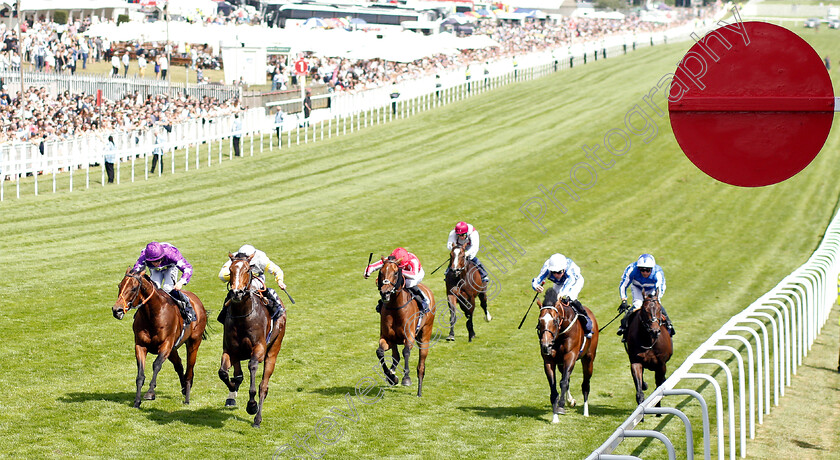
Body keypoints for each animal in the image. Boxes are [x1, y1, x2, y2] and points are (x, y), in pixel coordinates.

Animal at [112, 268, 208, 408]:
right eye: (120, 285)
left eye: (134, 288)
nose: (116, 310)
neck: (153, 315)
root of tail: (197, 301)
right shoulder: (140, 345)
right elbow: (140, 374)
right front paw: (137, 401)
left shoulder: (166, 344)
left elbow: (156, 365)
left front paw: (150, 393)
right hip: (173, 350)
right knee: (179, 365)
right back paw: (184, 388)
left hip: (194, 343)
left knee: (190, 371)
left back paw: (187, 397)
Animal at [218, 252, 288, 428]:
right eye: (230, 269)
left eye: (247, 269)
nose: (237, 293)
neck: (243, 316)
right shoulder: (230, 350)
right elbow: (224, 373)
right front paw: (232, 390)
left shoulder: (259, 349)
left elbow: (252, 367)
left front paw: (251, 405)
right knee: (238, 374)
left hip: (273, 351)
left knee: (264, 385)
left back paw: (257, 418)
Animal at [376, 256, 436, 398]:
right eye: (381, 272)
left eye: (395, 273)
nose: (385, 292)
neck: (395, 307)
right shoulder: (387, 338)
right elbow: (380, 352)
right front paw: (391, 377)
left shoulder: (409, 337)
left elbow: (406, 352)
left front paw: (406, 378)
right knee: (396, 357)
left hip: (425, 335)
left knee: (421, 366)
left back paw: (419, 391)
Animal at [540, 290, 596, 422]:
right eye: (540, 321)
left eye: (555, 320)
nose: (545, 345)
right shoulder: (549, 360)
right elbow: (554, 387)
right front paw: (555, 416)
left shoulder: (570, 356)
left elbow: (563, 382)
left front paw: (560, 406)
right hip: (561, 363)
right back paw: (570, 401)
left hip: (588, 359)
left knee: (585, 384)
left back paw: (586, 412)